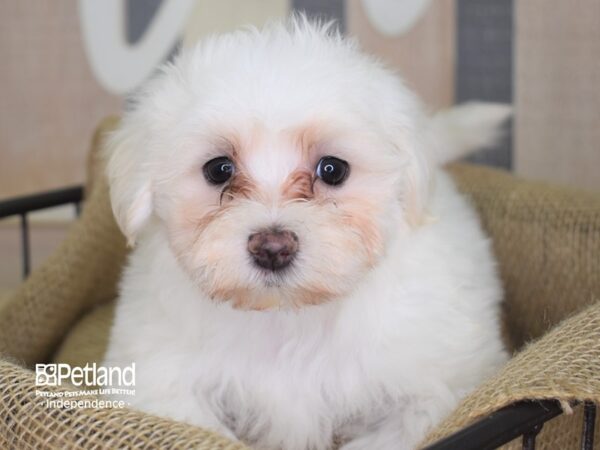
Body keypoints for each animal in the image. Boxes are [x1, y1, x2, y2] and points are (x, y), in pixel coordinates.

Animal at [104, 16, 510, 450]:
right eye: (218, 169)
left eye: (332, 169)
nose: (272, 248)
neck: (289, 317)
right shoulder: (157, 382)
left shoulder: (436, 386)